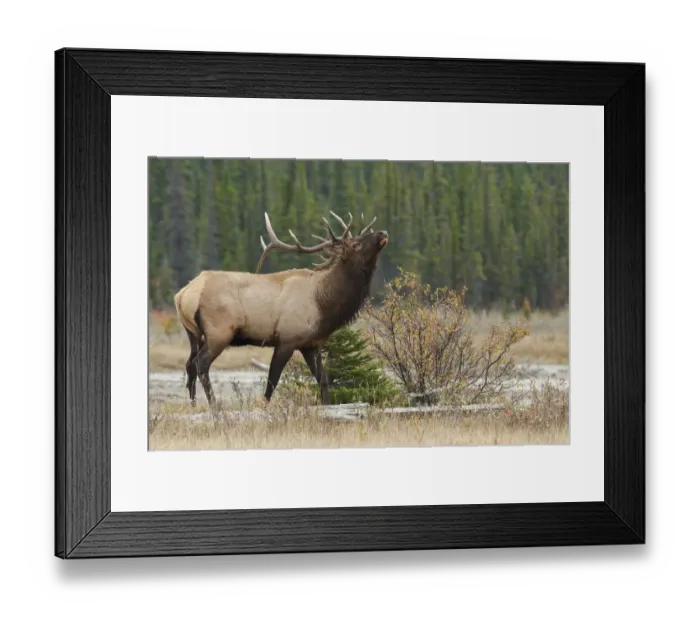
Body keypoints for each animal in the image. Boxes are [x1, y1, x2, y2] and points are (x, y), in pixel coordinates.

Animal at [173, 211, 389, 408]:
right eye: (355, 244)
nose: (383, 232)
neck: (323, 304)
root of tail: (183, 295)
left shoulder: (311, 344)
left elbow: (324, 379)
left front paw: (327, 406)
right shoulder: (287, 339)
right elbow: (272, 381)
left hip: (194, 334)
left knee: (189, 365)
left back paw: (193, 405)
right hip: (219, 332)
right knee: (201, 364)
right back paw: (214, 406)